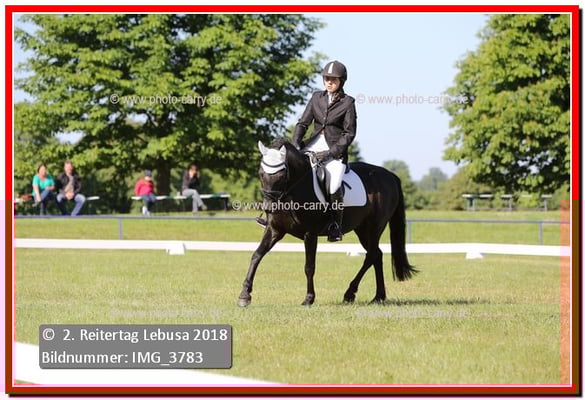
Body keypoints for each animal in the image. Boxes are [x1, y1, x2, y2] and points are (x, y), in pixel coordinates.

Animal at [237, 138, 417, 307]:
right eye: (261, 173)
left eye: (281, 175)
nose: (269, 208)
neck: (293, 190)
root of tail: (390, 175)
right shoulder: (275, 229)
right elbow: (256, 255)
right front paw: (244, 296)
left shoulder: (310, 234)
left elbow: (309, 266)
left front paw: (309, 299)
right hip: (362, 229)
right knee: (376, 255)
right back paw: (377, 296)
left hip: (373, 227)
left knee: (372, 255)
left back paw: (353, 293)